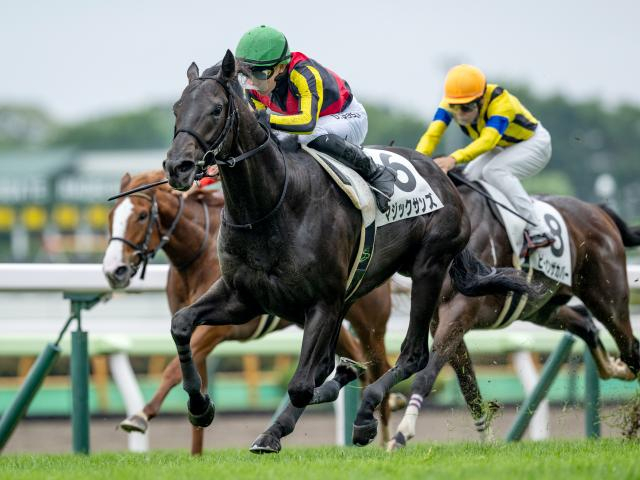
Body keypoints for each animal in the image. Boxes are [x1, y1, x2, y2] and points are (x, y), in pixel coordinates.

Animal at [103, 170, 402, 453]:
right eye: (111, 215)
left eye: (142, 216)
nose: (113, 270)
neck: (199, 252)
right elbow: (192, 371)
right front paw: (197, 440)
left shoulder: (217, 329)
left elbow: (172, 370)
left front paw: (140, 416)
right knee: (357, 360)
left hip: (367, 323)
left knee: (379, 365)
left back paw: (385, 435)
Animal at [161, 50, 533, 447]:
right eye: (176, 108)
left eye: (216, 109)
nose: (177, 166)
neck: (271, 205)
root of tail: (442, 173)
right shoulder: (243, 296)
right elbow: (181, 324)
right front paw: (200, 405)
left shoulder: (322, 301)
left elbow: (301, 385)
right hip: (355, 292)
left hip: (428, 267)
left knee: (412, 355)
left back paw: (366, 412)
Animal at [388, 176, 640, 449]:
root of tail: (597, 210)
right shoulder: (441, 320)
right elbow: (468, 385)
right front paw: (487, 439)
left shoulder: (459, 310)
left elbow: (428, 373)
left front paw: (401, 433)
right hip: (541, 307)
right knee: (585, 323)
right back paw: (614, 368)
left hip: (607, 298)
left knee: (631, 349)